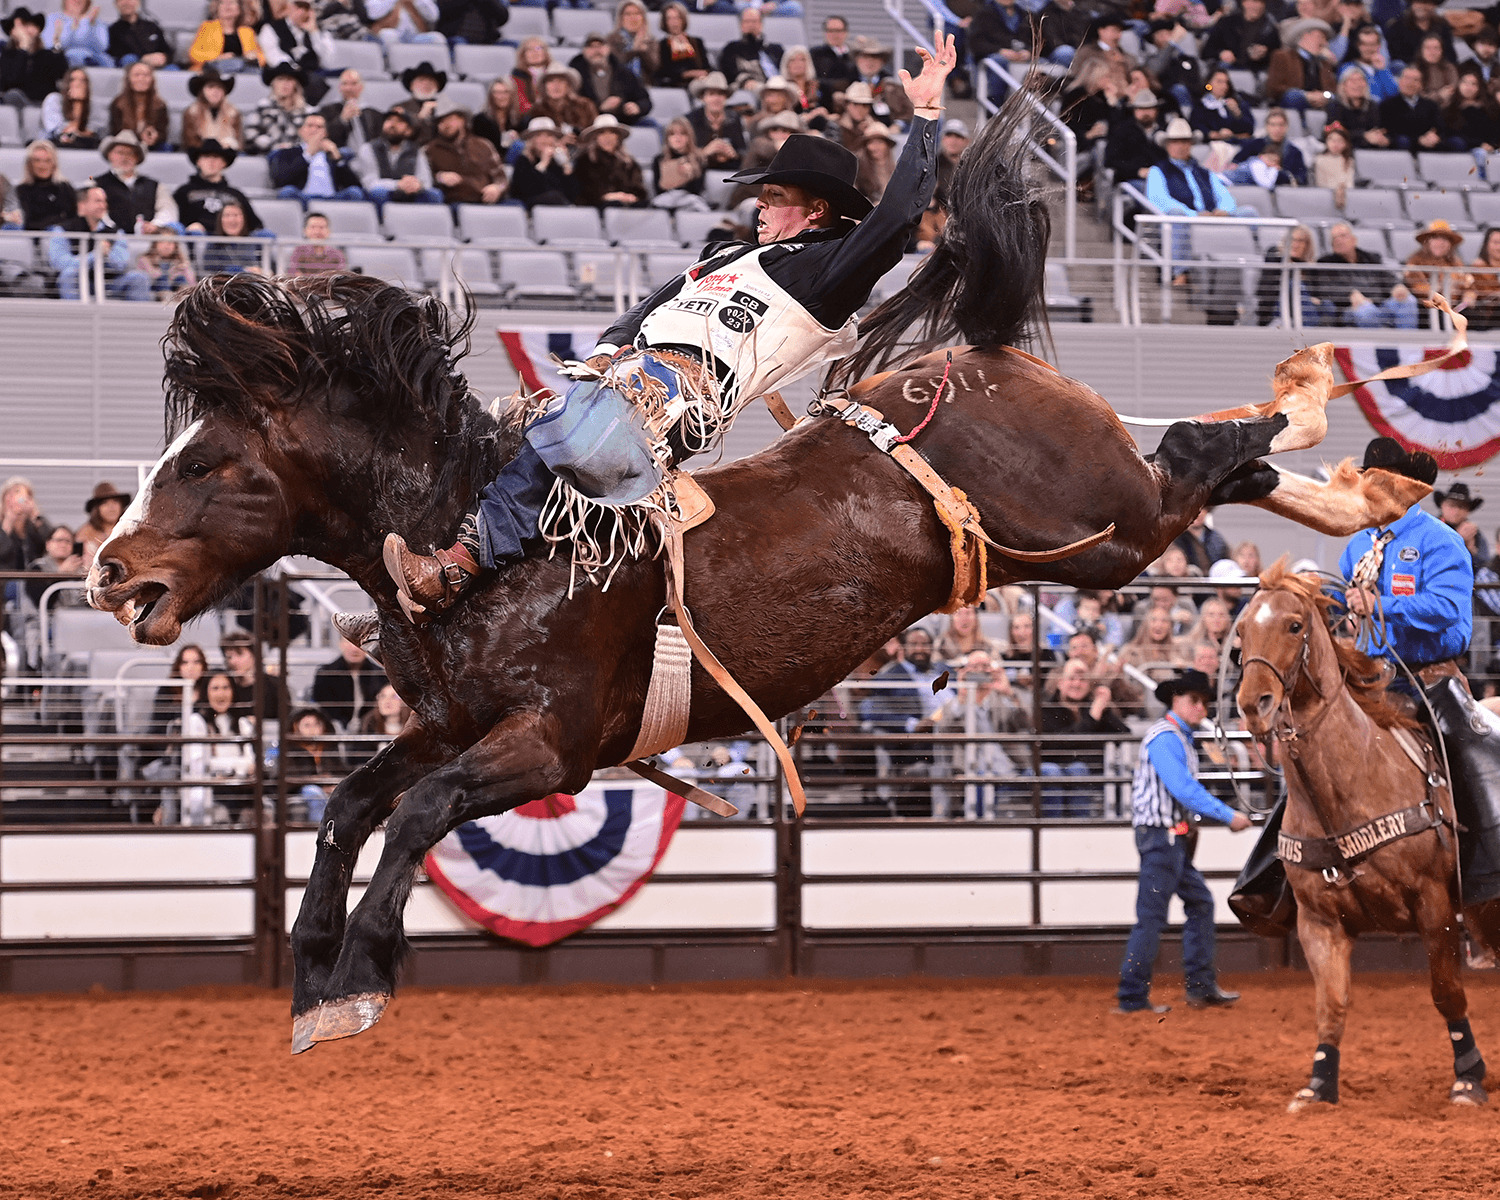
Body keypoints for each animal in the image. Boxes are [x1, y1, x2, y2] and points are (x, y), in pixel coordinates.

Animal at [85, 108, 1428, 1056]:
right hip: (1098, 537)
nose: (107, 567)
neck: (481, 531)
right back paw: (1358, 488)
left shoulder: (547, 747)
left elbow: (412, 817)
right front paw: (312, 975)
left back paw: (1327, 417)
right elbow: (351, 806)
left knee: (1198, 456)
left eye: (204, 459)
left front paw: (360, 977)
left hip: (1103, 529)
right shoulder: (453, 724)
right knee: (1218, 466)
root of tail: (985, 361)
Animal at [1236, 567, 1500, 1110]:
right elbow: (1332, 1004)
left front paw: (1468, 1078)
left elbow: (1446, 992)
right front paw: (1318, 1084)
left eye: (1295, 625)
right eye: (1240, 631)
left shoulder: (1435, 907)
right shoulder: (1318, 922)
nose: (1254, 704)